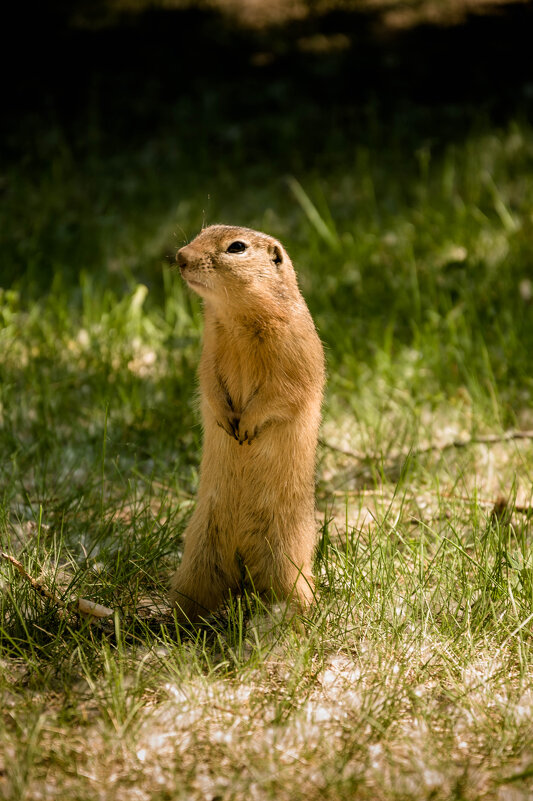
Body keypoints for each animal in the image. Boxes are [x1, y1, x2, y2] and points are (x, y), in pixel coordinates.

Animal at [168, 222, 324, 620]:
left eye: (236, 247)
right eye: (203, 230)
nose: (180, 256)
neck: (236, 320)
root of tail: (241, 579)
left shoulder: (294, 354)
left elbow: (282, 392)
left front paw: (247, 427)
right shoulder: (208, 350)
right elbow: (208, 384)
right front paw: (227, 422)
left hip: (286, 559)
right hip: (197, 558)